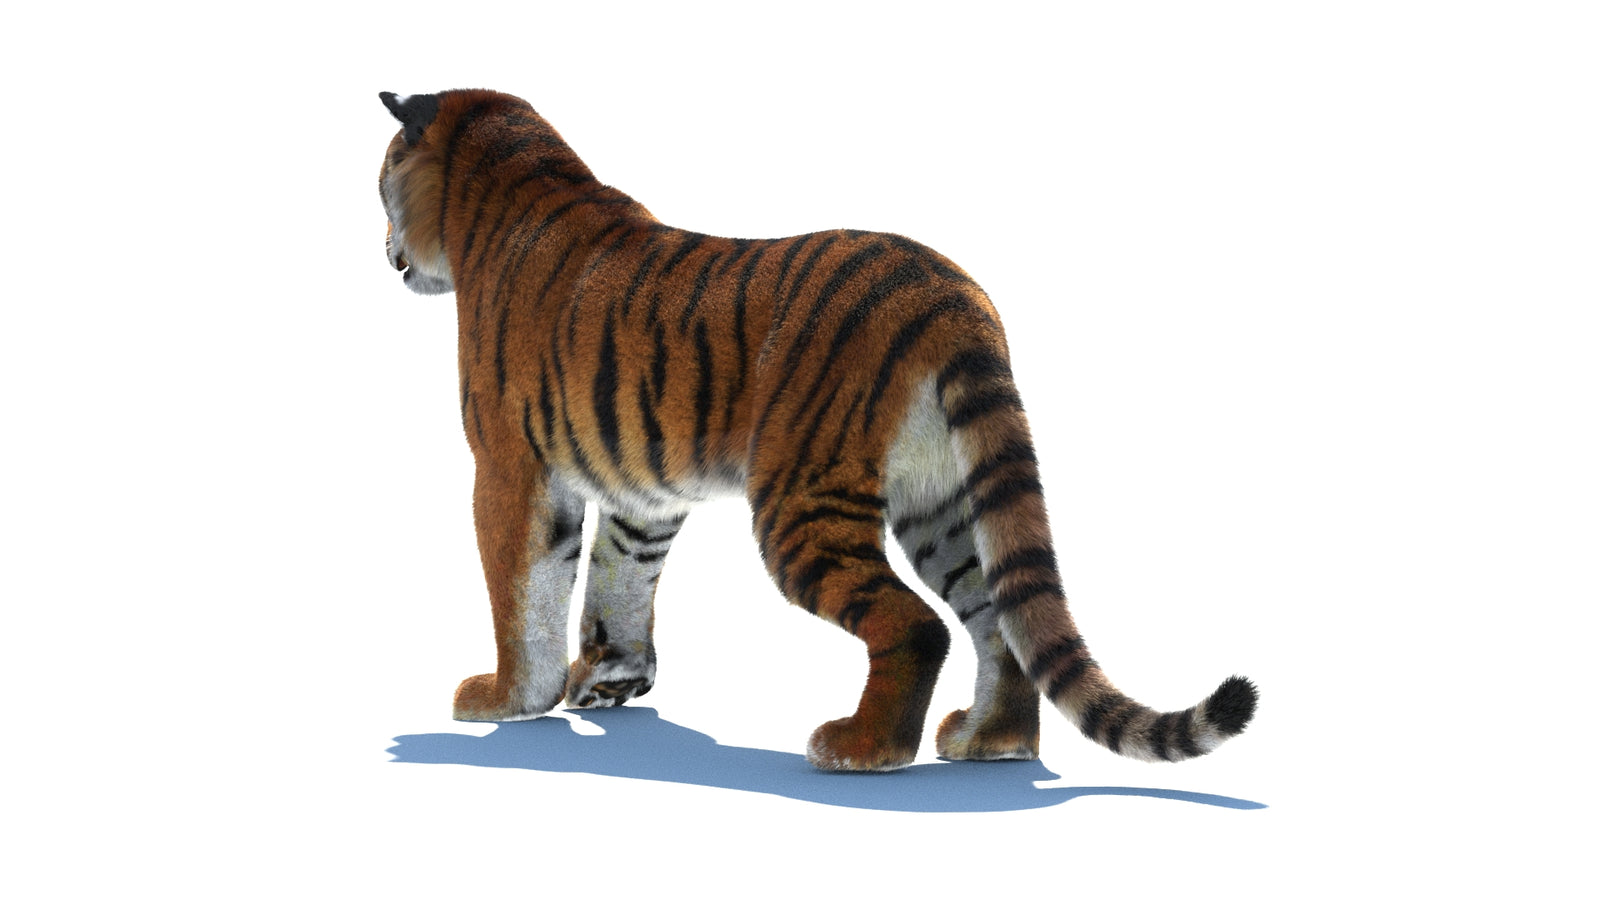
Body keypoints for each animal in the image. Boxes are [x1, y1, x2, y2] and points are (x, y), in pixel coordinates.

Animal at [376, 88, 1257, 772]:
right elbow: (618, 581)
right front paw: (609, 679)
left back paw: (863, 749)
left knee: (915, 625)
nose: (384, 251)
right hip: (943, 506)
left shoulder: (508, 465)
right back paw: (988, 741)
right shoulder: (644, 495)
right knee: (1000, 618)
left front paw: (505, 699)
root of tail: (952, 298)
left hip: (802, 502)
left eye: (382, 179)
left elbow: (521, 588)